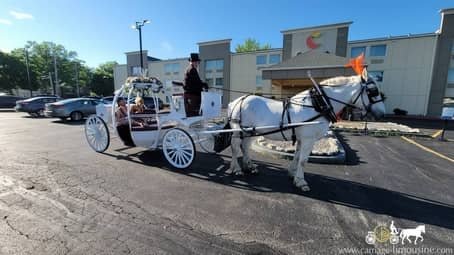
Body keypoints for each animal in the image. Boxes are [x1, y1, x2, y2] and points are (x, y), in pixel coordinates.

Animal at [229, 73, 384, 191]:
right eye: (373, 91)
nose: (382, 114)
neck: (318, 105)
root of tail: (237, 101)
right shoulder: (309, 139)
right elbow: (303, 160)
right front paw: (301, 181)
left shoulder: (302, 139)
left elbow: (297, 157)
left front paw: (292, 174)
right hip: (238, 130)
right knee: (235, 146)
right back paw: (236, 169)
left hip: (248, 131)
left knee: (245, 146)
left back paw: (249, 166)